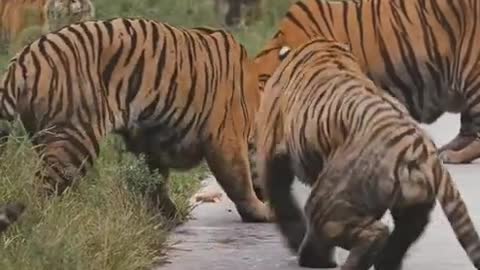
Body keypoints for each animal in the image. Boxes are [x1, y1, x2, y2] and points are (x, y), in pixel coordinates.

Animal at [0, 17, 272, 234]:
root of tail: (20, 61)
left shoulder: (151, 141)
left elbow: (156, 182)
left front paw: (169, 215)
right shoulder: (226, 140)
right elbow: (240, 182)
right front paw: (262, 212)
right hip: (74, 140)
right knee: (42, 190)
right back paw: (51, 223)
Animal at [256, 38, 480, 270]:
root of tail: (422, 149)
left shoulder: (271, 152)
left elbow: (283, 203)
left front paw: (295, 238)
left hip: (328, 199)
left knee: (373, 232)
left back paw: (322, 261)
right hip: (412, 204)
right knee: (402, 234)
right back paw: (380, 262)